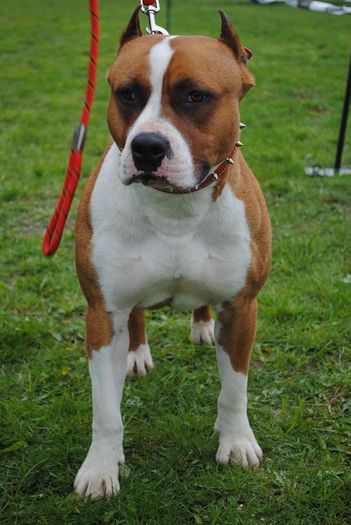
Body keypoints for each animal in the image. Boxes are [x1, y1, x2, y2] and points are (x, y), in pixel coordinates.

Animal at [73, 9, 272, 500]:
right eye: (127, 94)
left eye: (196, 96)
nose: (147, 147)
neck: (176, 209)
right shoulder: (101, 313)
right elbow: (105, 409)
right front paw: (101, 467)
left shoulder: (242, 308)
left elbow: (234, 390)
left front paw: (236, 442)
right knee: (137, 317)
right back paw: (136, 354)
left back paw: (201, 325)